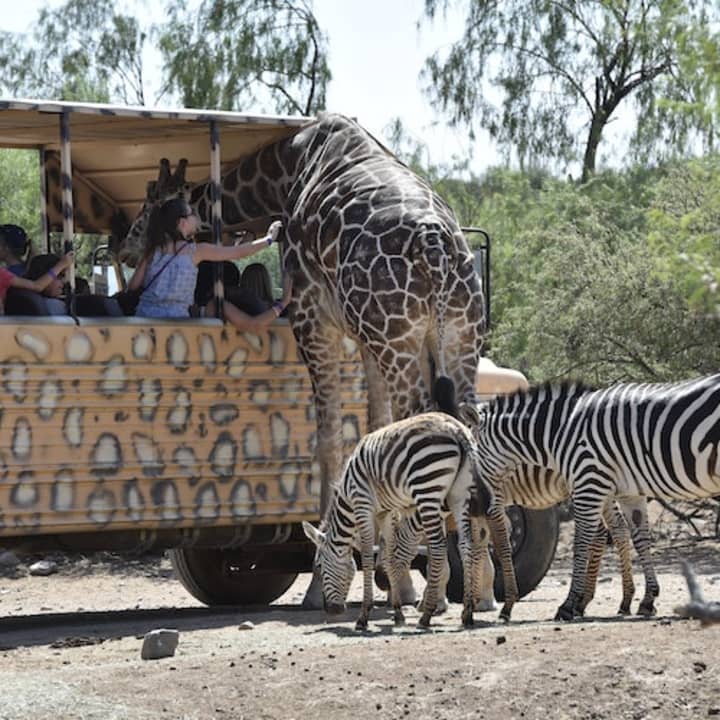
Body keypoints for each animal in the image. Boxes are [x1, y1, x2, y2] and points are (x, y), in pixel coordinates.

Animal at [121, 112, 486, 608]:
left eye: (149, 206)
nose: (124, 249)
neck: (285, 169)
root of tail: (436, 245)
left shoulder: (312, 316)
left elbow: (329, 440)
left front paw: (326, 581)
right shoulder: (364, 336)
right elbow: (372, 430)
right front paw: (387, 569)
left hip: (401, 335)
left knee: (420, 423)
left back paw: (433, 584)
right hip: (458, 335)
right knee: (470, 424)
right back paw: (478, 590)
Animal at [300, 410, 500, 632]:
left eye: (319, 566)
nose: (331, 610)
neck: (347, 495)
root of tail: (457, 429)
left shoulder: (363, 505)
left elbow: (368, 556)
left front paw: (363, 616)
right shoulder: (385, 512)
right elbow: (388, 556)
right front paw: (397, 613)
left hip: (427, 488)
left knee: (438, 547)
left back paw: (426, 616)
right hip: (460, 494)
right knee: (466, 546)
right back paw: (467, 614)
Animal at [462, 374, 720, 620]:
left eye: (472, 456)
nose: (476, 505)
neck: (562, 430)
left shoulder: (588, 483)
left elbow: (579, 544)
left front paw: (565, 605)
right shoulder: (627, 491)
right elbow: (640, 539)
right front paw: (648, 600)